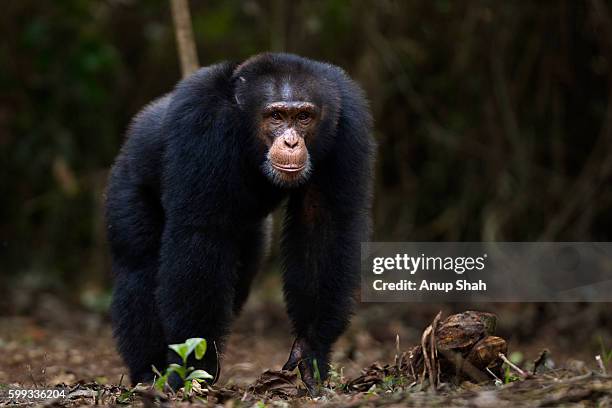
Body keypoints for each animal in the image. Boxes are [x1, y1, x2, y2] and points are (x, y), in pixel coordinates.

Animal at [107, 52, 376, 390]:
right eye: (276, 116)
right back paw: (148, 371)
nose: (291, 143)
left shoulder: (348, 125)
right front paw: (195, 367)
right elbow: (202, 234)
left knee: (242, 275)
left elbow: (322, 224)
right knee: (139, 268)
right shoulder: (203, 121)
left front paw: (310, 347)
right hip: (127, 183)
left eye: (303, 117)